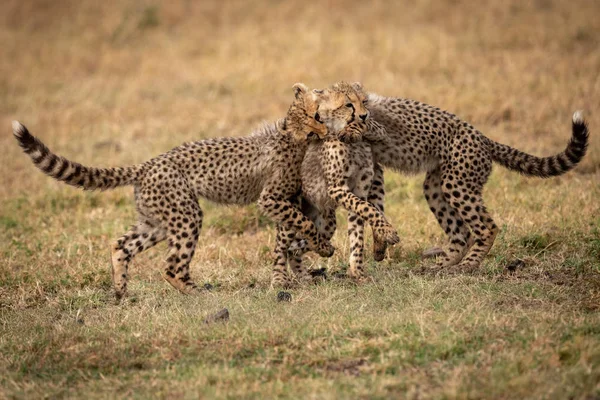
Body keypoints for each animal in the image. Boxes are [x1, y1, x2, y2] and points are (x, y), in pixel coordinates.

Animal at [12, 83, 338, 298]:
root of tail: (146, 165)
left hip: (156, 221)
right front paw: (322, 247)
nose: (326, 129)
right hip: (186, 215)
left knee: (122, 245)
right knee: (170, 266)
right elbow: (303, 222)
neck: (293, 135)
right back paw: (196, 292)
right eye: (316, 116)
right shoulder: (271, 199)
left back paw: (121, 290)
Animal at [274, 82, 398, 284]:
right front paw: (388, 231)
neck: (351, 141)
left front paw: (357, 271)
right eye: (348, 104)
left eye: (364, 101)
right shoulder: (337, 188)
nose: (364, 116)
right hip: (291, 214)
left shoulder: (360, 190)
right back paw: (278, 279)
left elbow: (358, 229)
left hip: (327, 222)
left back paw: (307, 268)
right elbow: (368, 209)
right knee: (281, 246)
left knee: (303, 243)